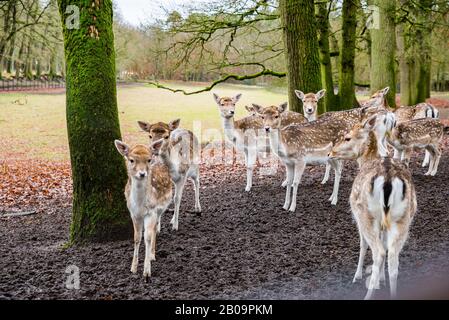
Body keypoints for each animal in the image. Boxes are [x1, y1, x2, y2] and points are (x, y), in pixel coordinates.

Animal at [114, 139, 172, 280]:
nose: (142, 174)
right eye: (131, 160)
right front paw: (133, 268)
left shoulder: (151, 212)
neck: (140, 204)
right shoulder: (133, 213)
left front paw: (146, 272)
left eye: (148, 160)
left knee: (155, 229)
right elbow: (136, 237)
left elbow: (148, 238)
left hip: (160, 209)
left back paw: (152, 255)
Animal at [328, 115, 416, 300]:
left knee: (379, 251)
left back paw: (368, 294)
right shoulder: (384, 223)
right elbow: (384, 243)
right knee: (393, 257)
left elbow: (362, 245)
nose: (330, 153)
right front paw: (381, 279)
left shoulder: (358, 217)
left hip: (367, 215)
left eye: (347, 137)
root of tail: (389, 179)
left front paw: (357, 276)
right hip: (403, 218)